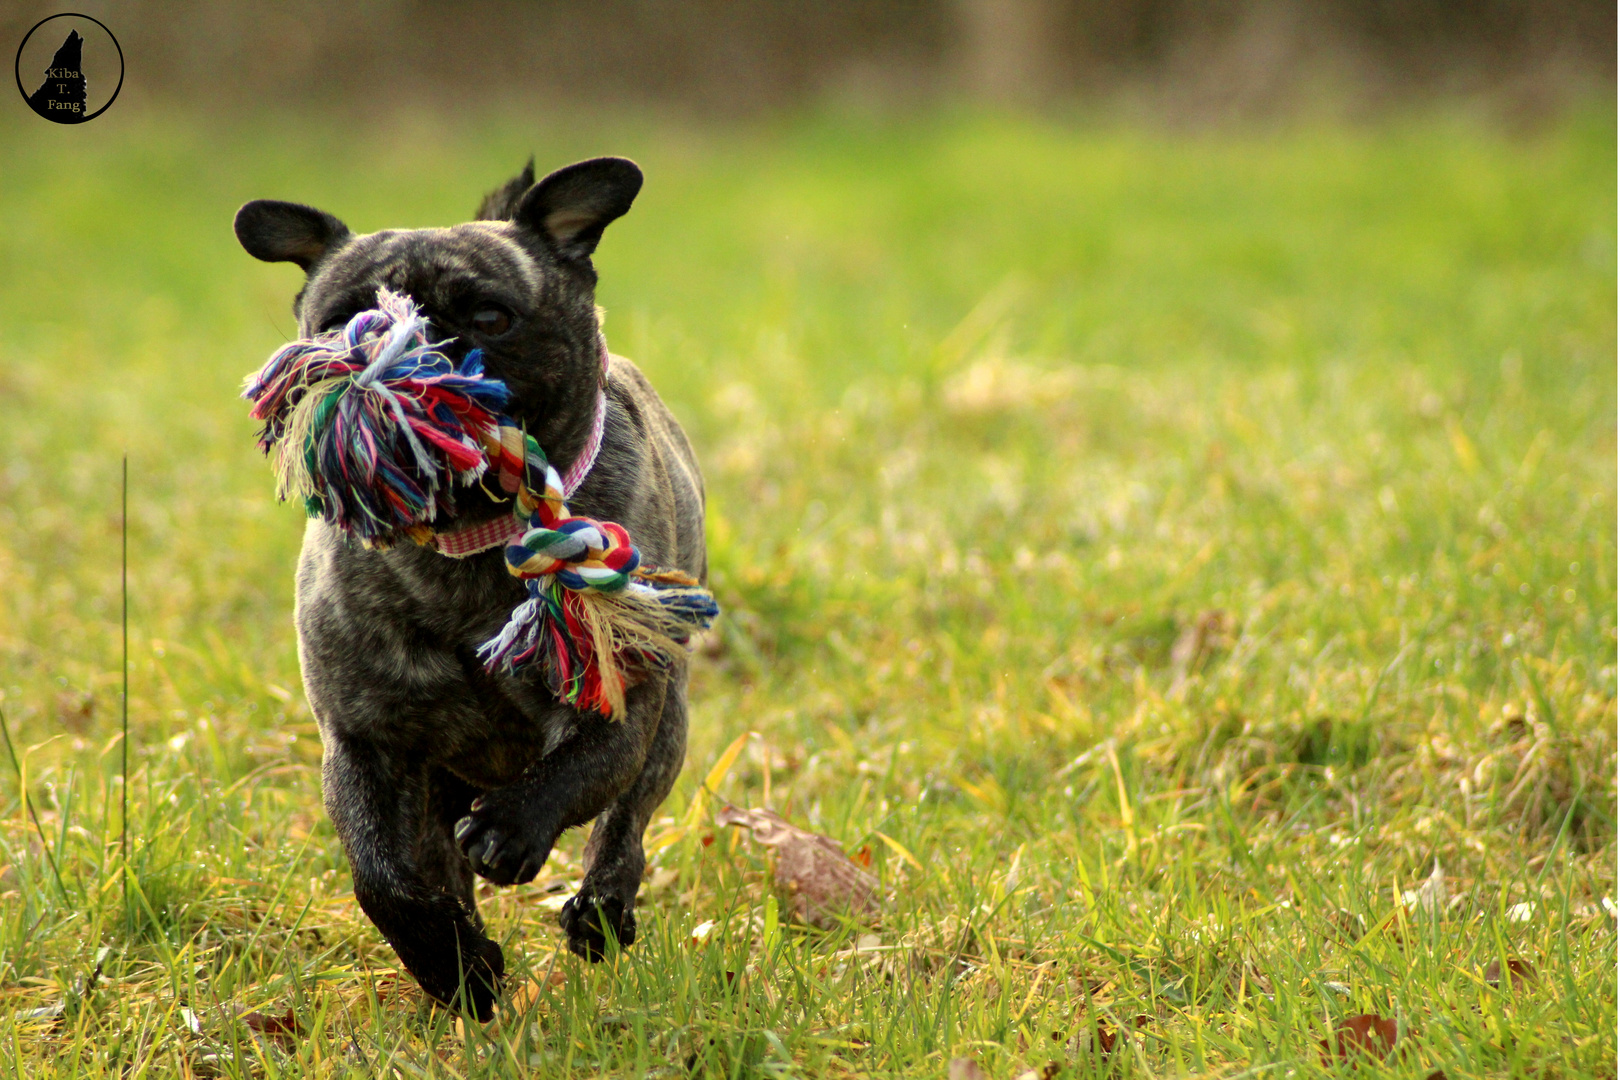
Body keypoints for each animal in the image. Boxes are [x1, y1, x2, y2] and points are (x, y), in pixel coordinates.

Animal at [233, 156, 703, 1016]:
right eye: (341, 320)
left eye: (490, 316)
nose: (414, 353)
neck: (462, 547)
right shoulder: (363, 745)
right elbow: (381, 880)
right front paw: (454, 966)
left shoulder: (617, 700)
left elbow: (581, 767)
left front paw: (510, 830)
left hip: (668, 724)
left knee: (625, 824)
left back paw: (601, 909)